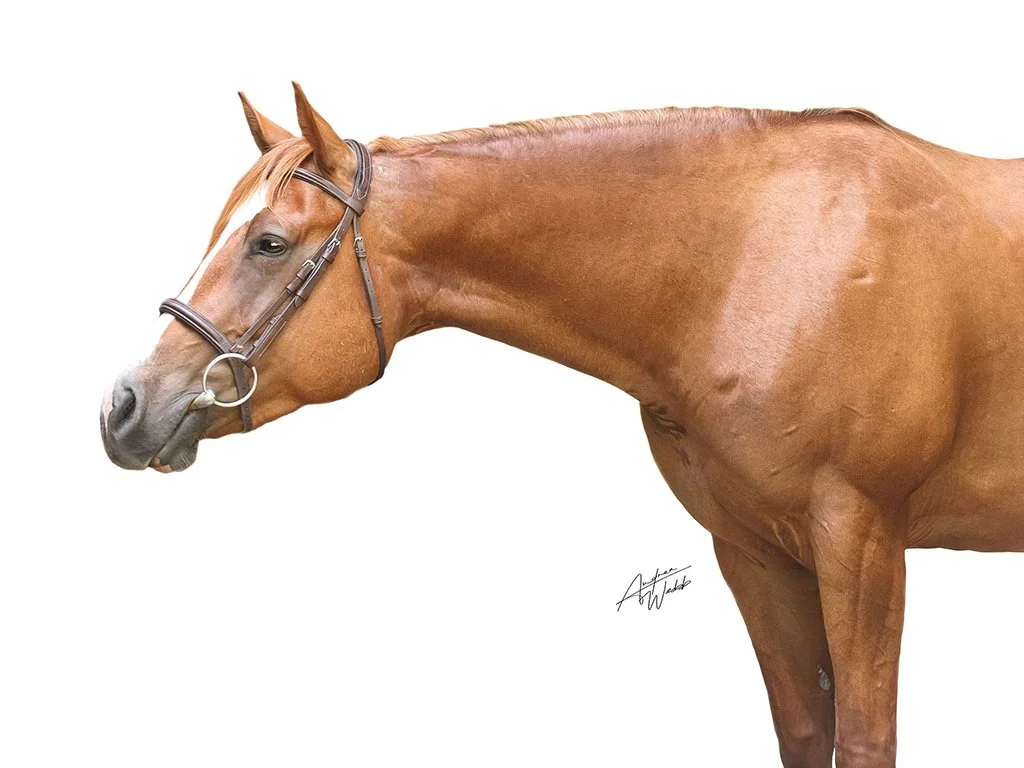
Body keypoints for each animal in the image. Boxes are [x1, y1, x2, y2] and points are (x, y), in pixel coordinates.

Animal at [100, 83, 1024, 768]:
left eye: (269, 242)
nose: (125, 407)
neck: (758, 260)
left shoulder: (861, 543)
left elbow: (865, 740)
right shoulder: (755, 551)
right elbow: (804, 732)